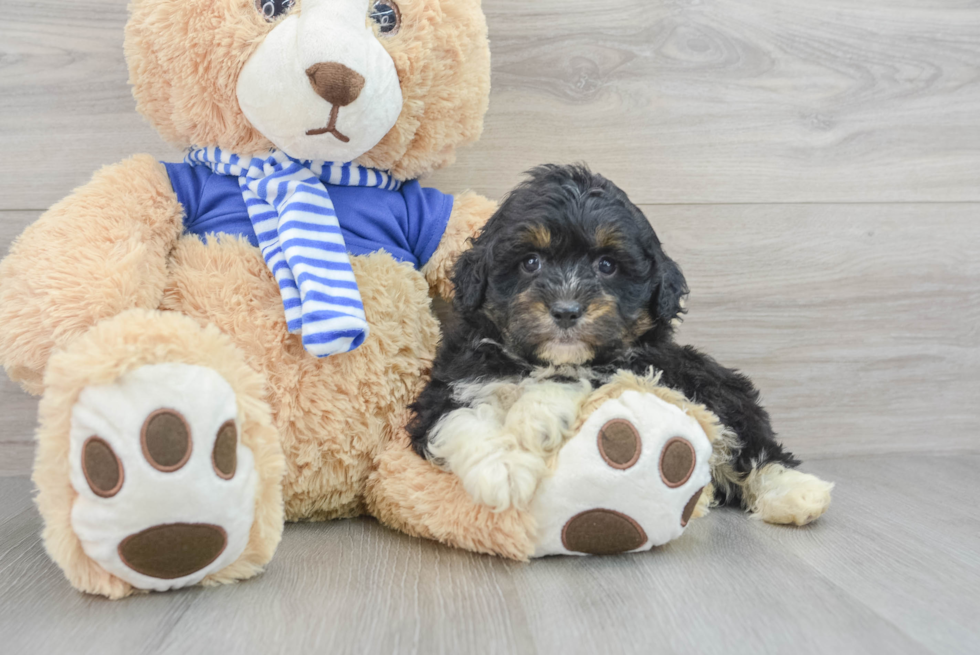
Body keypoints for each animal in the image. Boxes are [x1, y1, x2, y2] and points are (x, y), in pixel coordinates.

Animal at [410, 165, 832, 528]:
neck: (538, 360)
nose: (566, 310)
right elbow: (460, 416)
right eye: (530, 262)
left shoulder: (641, 365)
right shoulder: (450, 384)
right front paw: (502, 470)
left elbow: (580, 375)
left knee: (750, 445)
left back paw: (795, 492)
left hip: (711, 384)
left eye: (607, 265)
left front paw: (534, 421)